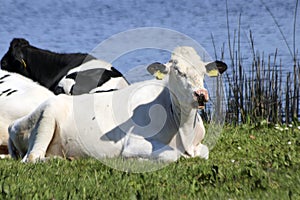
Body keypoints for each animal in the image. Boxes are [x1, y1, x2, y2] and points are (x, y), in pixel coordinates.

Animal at [7, 46, 227, 162]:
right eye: (178, 71)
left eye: (203, 72)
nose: (201, 95)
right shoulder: (134, 143)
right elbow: (172, 155)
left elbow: (204, 152)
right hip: (47, 115)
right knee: (32, 158)